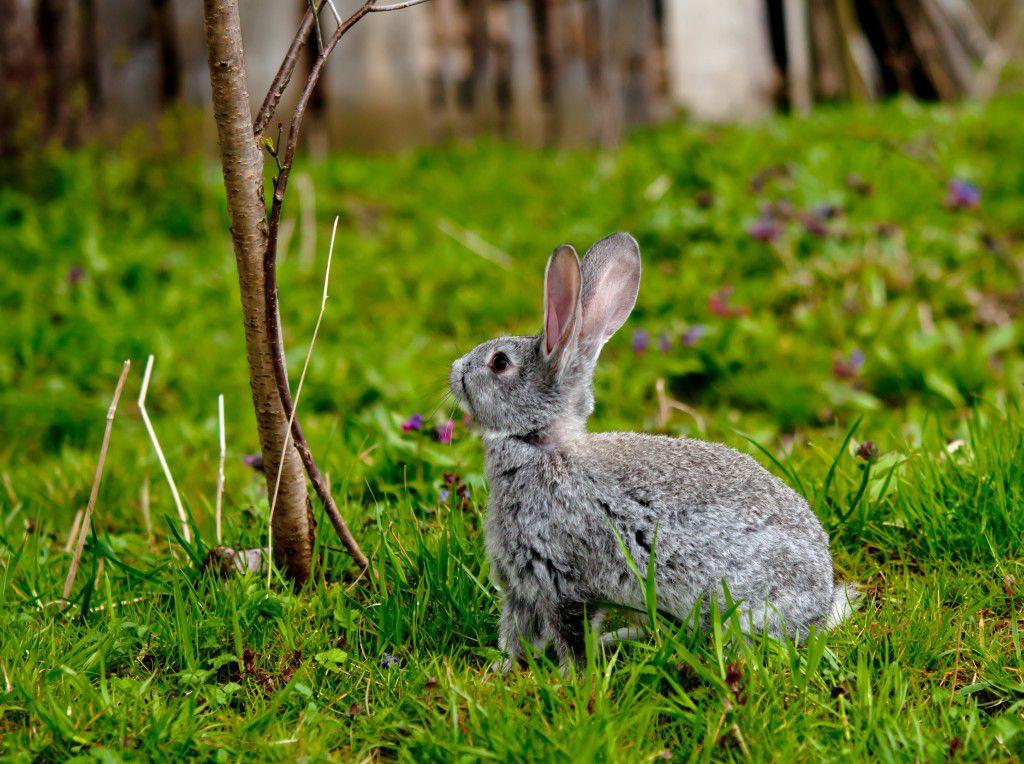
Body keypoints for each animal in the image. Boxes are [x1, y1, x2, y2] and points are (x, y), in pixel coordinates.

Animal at [449, 232, 856, 669]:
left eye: (499, 362)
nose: (455, 370)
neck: (542, 446)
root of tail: (820, 603)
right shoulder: (521, 586)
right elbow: (517, 632)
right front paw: (503, 668)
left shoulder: (564, 579)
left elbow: (572, 634)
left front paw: (570, 676)